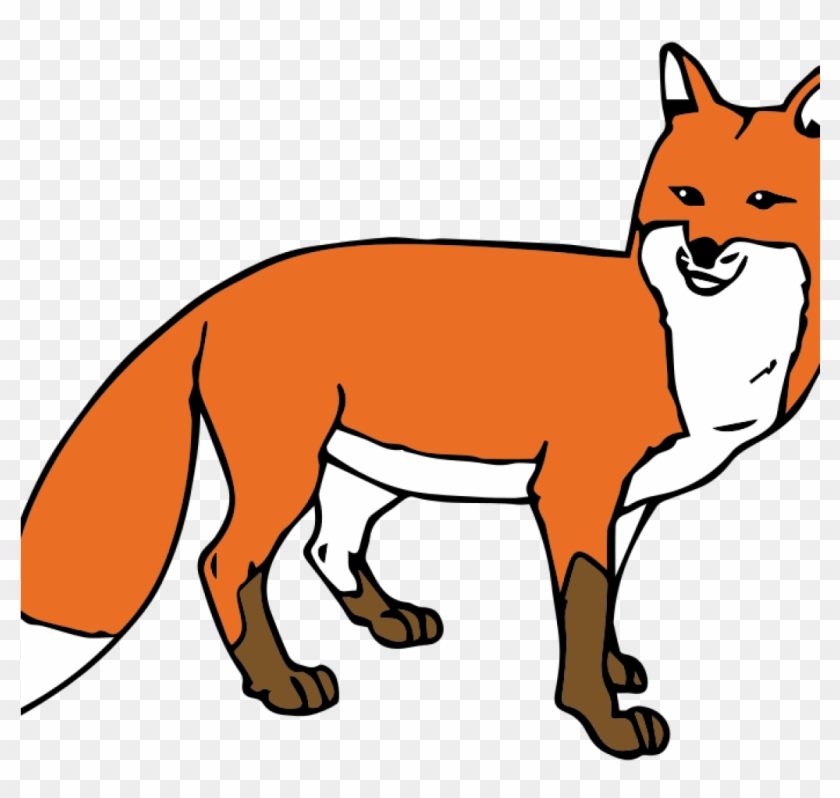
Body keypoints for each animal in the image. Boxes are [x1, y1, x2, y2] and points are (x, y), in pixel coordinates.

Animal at [21, 44, 819, 760]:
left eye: (760, 202)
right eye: (688, 196)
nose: (703, 251)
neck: (699, 345)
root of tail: (224, 291)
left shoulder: (628, 504)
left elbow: (606, 598)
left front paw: (615, 671)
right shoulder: (573, 490)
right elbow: (584, 608)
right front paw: (601, 719)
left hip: (366, 473)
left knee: (327, 546)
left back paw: (386, 619)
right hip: (287, 472)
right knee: (227, 562)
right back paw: (281, 684)